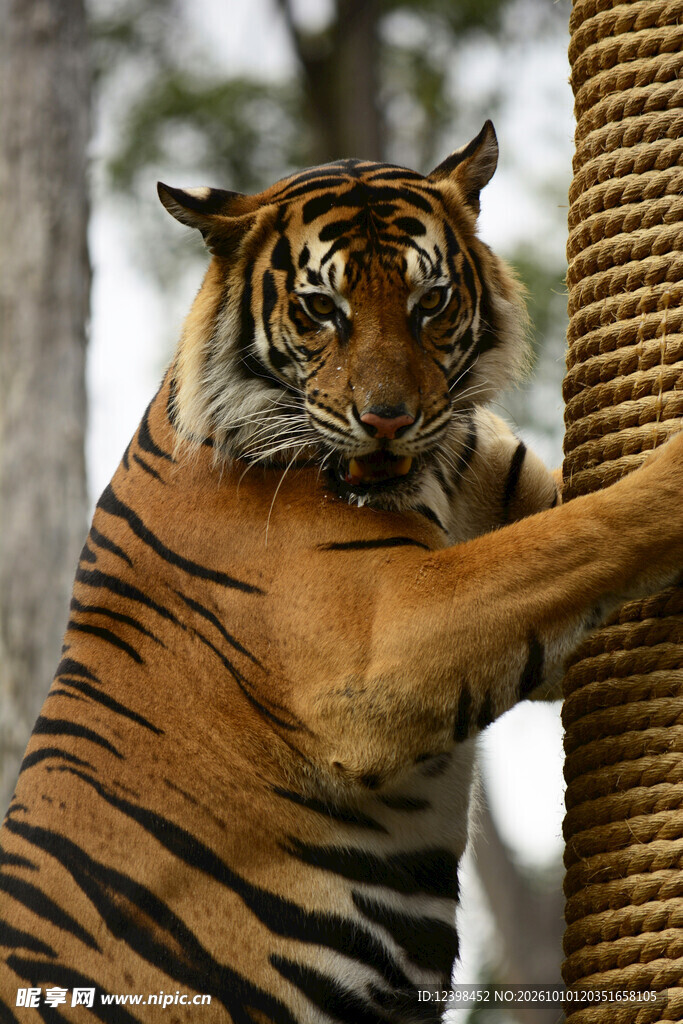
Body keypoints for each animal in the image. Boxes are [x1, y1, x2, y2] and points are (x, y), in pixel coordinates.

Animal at [1, 119, 682, 1024]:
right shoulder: (381, 642)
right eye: (321, 309)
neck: (434, 475)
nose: (387, 420)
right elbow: (586, 531)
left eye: (431, 302)